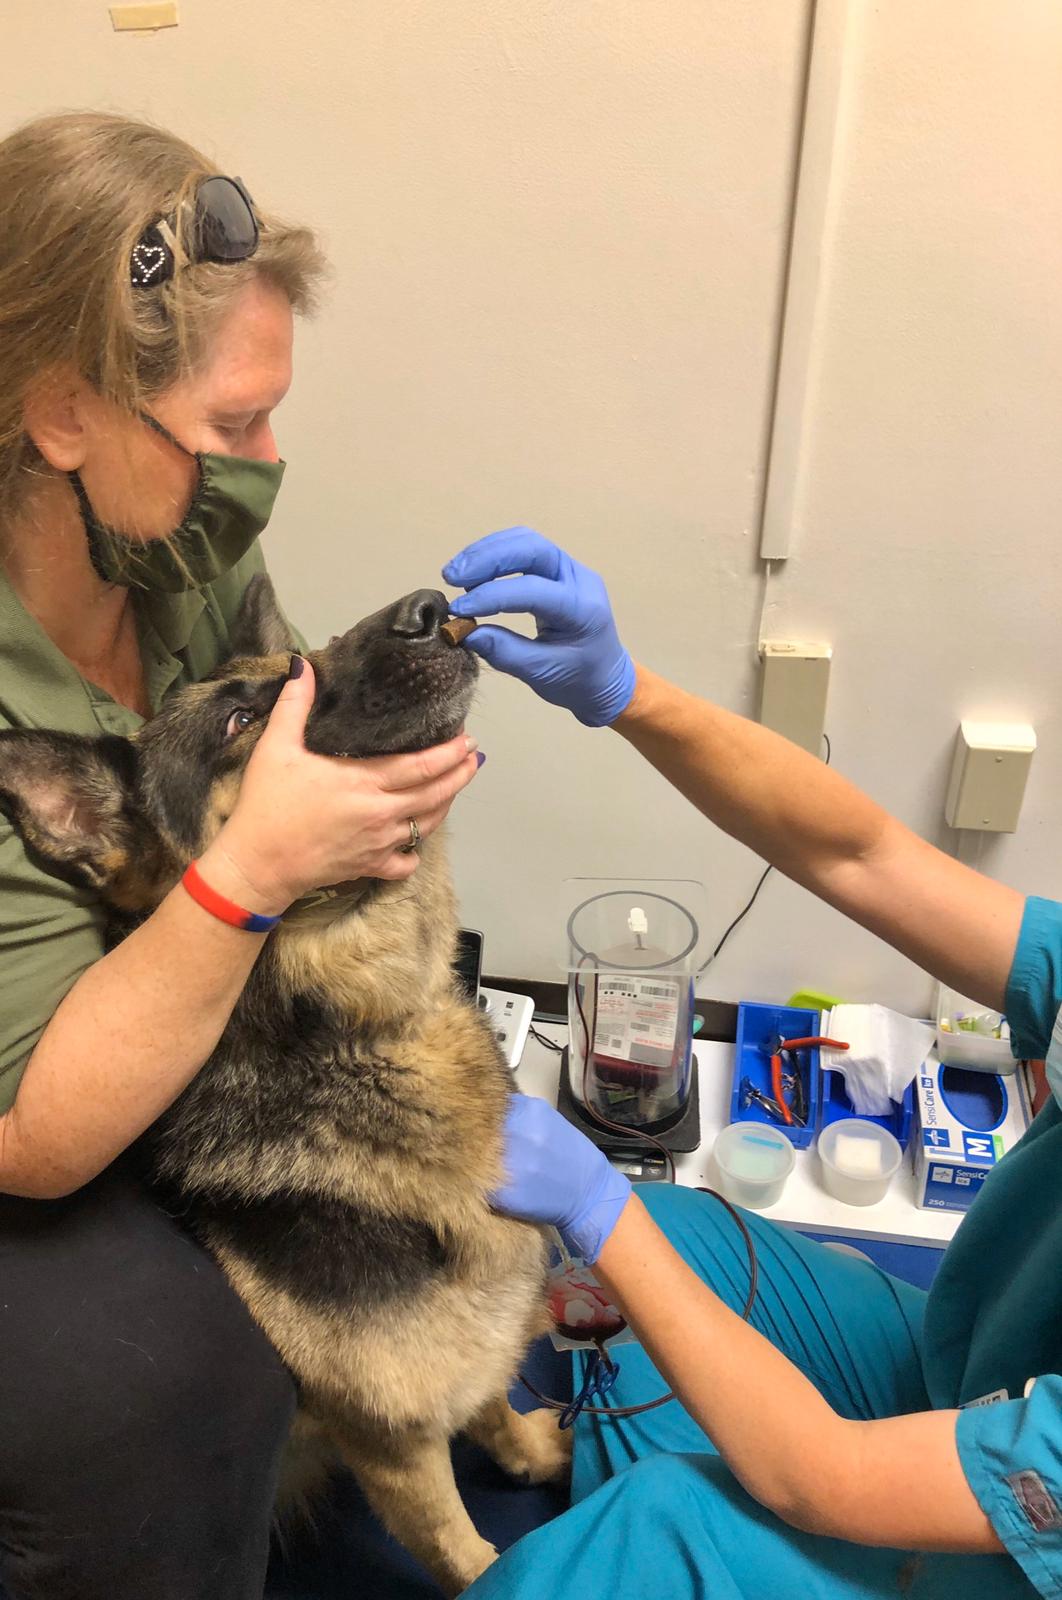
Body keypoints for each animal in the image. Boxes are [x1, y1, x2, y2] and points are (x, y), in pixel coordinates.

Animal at [0, 582, 572, 1593]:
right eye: (239, 722)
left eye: (296, 665)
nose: (430, 606)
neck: (364, 1035)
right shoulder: (393, 1447)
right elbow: (464, 1552)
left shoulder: (460, 1363)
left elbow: (492, 1399)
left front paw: (528, 1452)